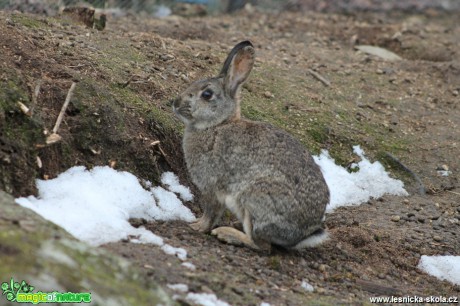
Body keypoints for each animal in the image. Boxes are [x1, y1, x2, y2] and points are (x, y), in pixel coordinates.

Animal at [173, 40, 330, 251]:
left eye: (207, 94)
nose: (175, 103)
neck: (217, 125)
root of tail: (304, 235)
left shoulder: (211, 185)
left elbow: (211, 212)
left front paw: (197, 226)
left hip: (254, 198)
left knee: (263, 246)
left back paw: (228, 234)